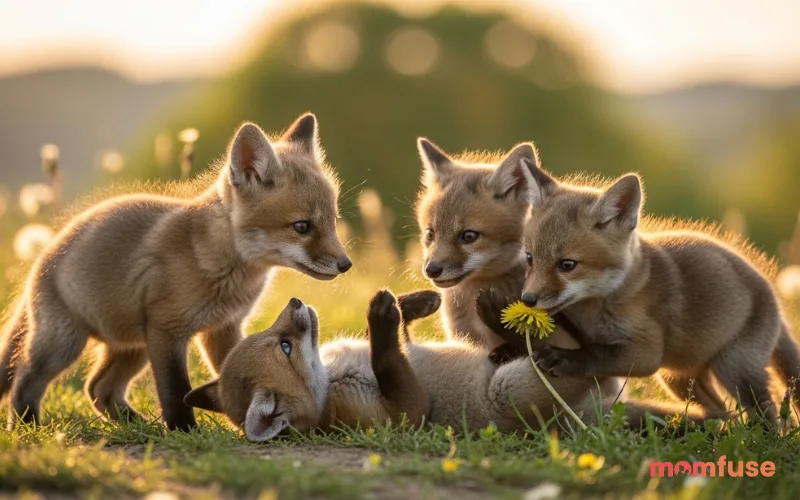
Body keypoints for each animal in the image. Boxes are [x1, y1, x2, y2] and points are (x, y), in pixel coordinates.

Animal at [0, 113, 352, 431]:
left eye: (332, 221)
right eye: (302, 227)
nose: (346, 264)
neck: (220, 268)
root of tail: (46, 250)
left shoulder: (224, 327)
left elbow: (231, 371)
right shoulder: (168, 330)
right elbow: (175, 391)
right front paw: (186, 431)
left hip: (133, 346)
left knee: (99, 389)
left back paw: (135, 425)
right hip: (66, 344)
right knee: (25, 378)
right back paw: (27, 426)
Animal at [184, 289, 715, 442]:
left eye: (270, 338)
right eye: (285, 348)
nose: (296, 302)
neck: (333, 376)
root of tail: (590, 421)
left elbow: (402, 335)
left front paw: (410, 303)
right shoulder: (403, 414)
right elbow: (390, 360)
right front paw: (381, 318)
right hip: (514, 391)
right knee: (568, 350)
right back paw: (504, 313)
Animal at [515, 160, 800, 425]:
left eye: (567, 265)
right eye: (529, 258)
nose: (527, 300)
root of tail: (771, 292)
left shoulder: (647, 352)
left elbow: (597, 353)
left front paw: (561, 358)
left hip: (734, 369)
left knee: (767, 411)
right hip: (679, 379)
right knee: (721, 409)